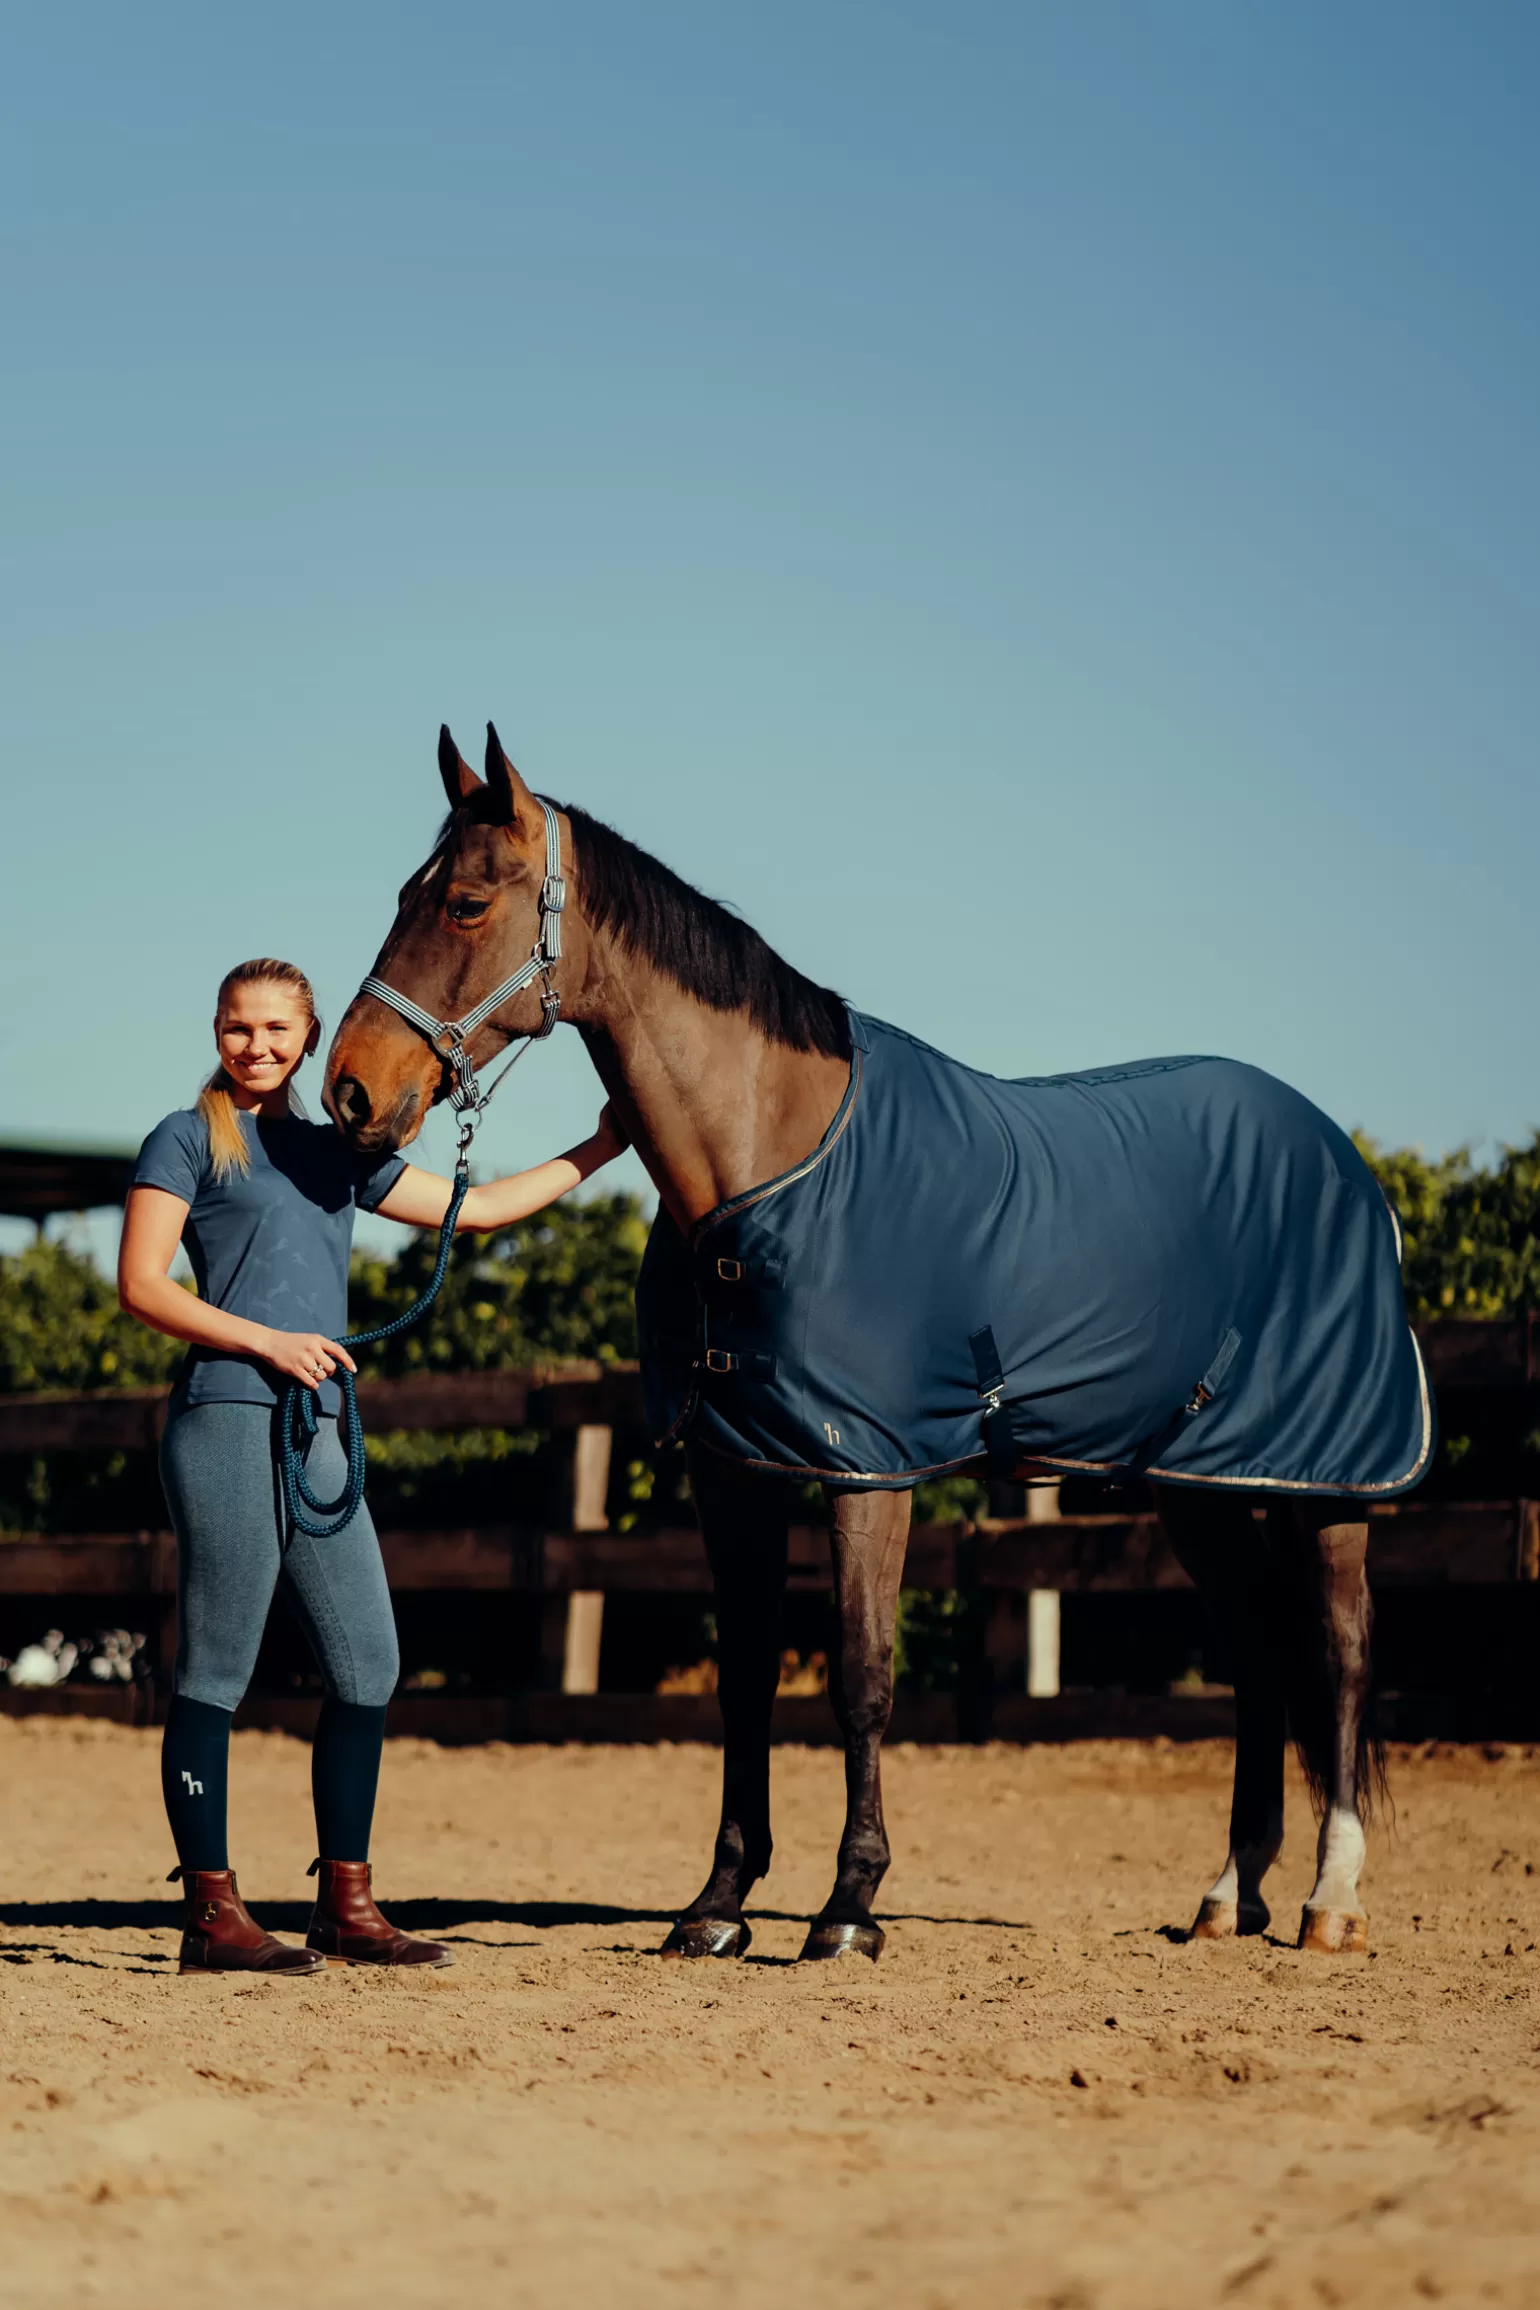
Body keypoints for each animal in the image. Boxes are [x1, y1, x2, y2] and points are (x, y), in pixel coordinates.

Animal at [325, 729, 1431, 1958]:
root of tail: (1347, 1165)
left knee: (1338, 1651)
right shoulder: (734, 1471)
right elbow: (746, 1679)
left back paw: (1331, 1901)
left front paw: (848, 1907)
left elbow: (860, 1673)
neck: (767, 1168)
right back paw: (1227, 1897)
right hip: (1198, 1481)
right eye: (407, 895)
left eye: (466, 903)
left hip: (1327, 1482)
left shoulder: (869, 1467)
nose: (350, 1090)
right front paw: (717, 1906)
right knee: (1253, 1652)